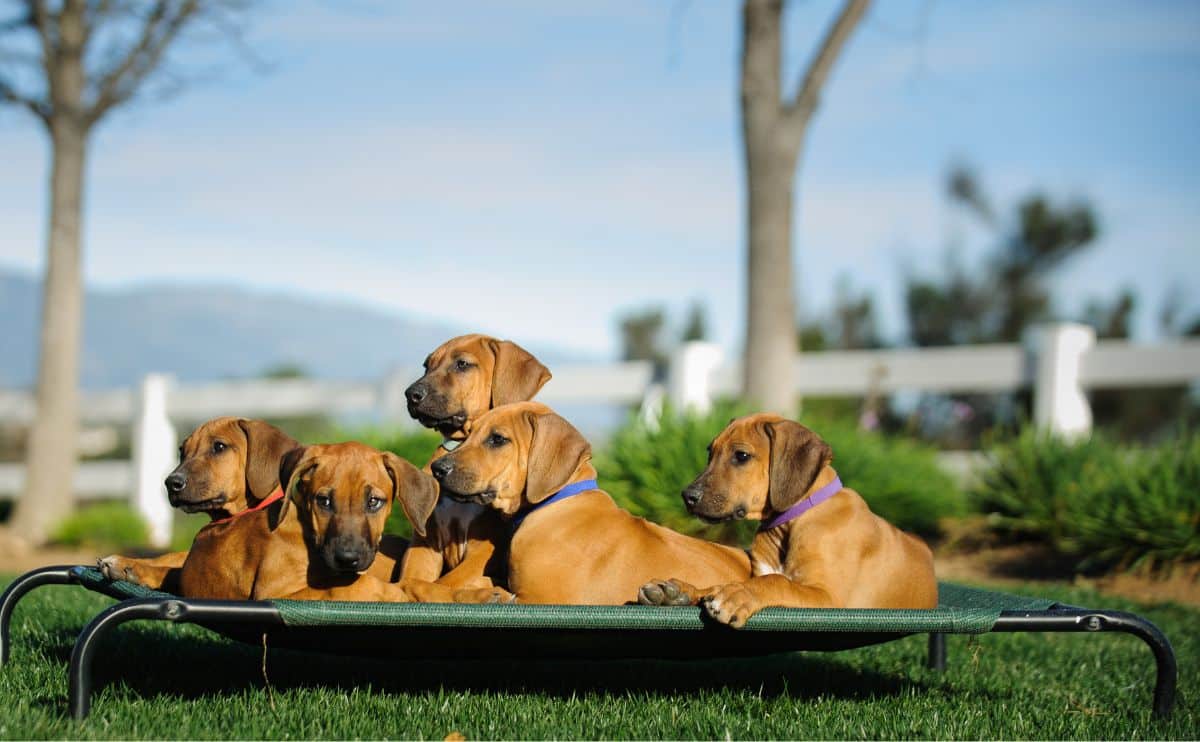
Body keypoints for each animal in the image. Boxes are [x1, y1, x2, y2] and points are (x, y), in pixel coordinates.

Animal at [98, 415, 300, 588]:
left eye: (219, 446)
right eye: (182, 451)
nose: (171, 483)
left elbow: (171, 572)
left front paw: (135, 570)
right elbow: (171, 557)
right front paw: (126, 562)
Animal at [403, 331, 552, 585]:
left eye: (462, 364)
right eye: (426, 366)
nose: (410, 394)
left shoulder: (483, 550)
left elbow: (446, 583)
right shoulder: (425, 543)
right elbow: (407, 581)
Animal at [638, 413, 936, 629]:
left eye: (741, 456)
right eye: (710, 453)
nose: (687, 496)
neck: (790, 522)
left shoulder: (830, 598)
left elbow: (777, 582)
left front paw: (736, 596)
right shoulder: (758, 573)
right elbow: (728, 582)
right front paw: (681, 591)